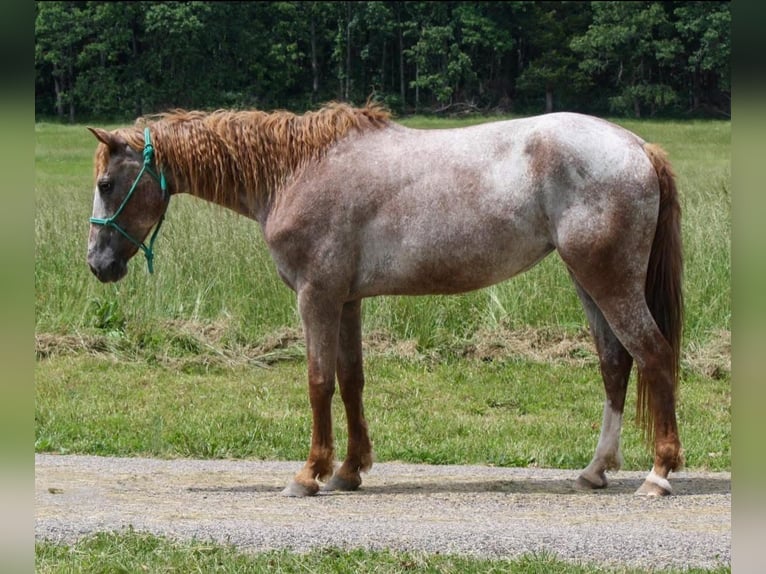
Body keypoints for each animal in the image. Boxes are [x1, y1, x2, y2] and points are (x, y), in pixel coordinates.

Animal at [86, 102, 683, 497]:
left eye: (106, 185)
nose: (98, 263)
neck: (295, 172)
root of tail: (637, 147)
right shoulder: (346, 301)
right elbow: (351, 381)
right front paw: (349, 470)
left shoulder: (317, 297)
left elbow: (318, 382)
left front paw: (309, 474)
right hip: (587, 279)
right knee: (615, 362)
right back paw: (595, 470)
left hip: (608, 279)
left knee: (653, 354)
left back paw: (658, 474)